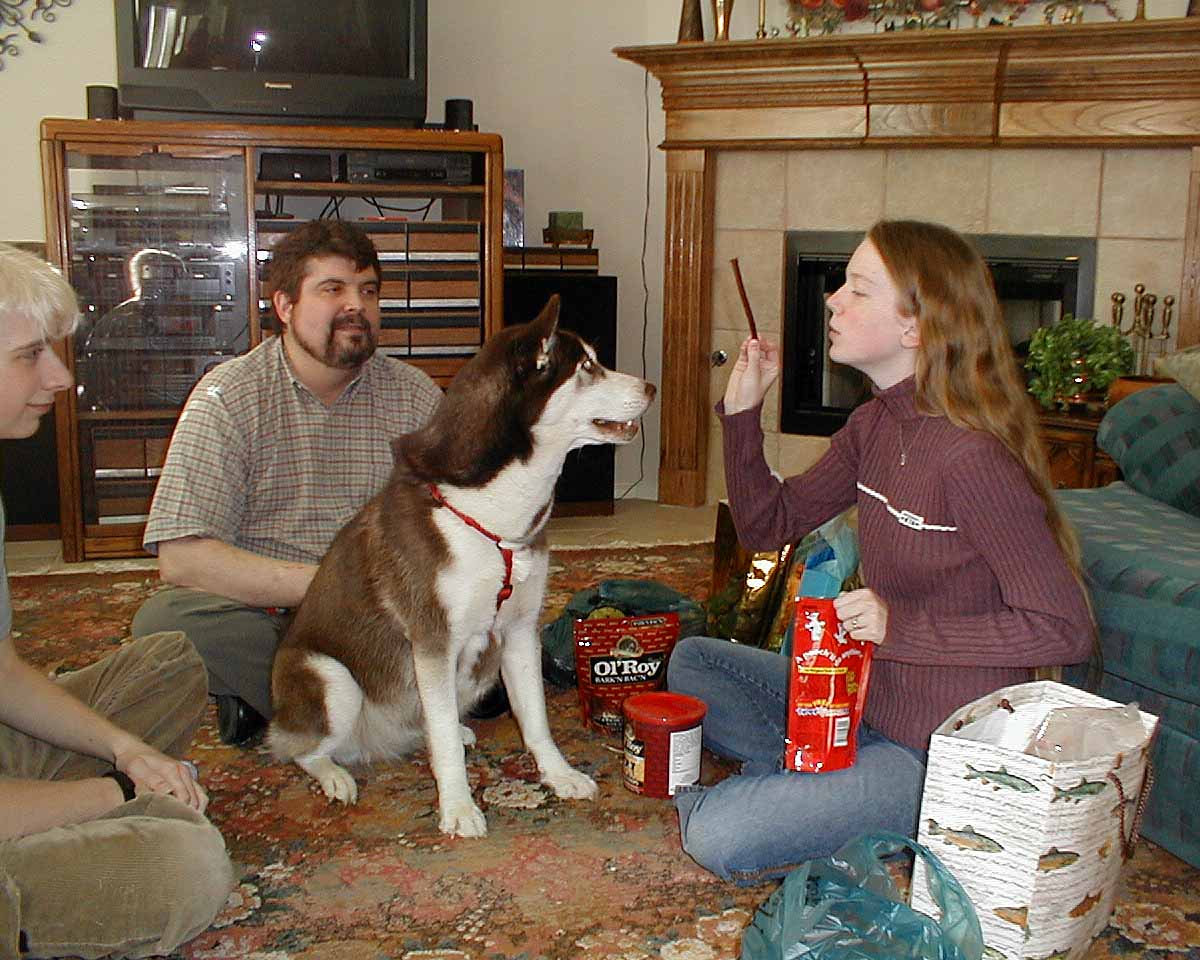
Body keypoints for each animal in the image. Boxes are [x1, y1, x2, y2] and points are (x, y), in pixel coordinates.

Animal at [271, 296, 657, 835]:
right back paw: (334, 775)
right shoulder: (433, 642)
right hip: (332, 679)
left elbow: (535, 720)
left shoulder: (519, 630)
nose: (651, 387)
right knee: (302, 751)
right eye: (585, 367)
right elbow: (446, 748)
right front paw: (457, 807)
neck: (494, 518)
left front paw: (558, 775)